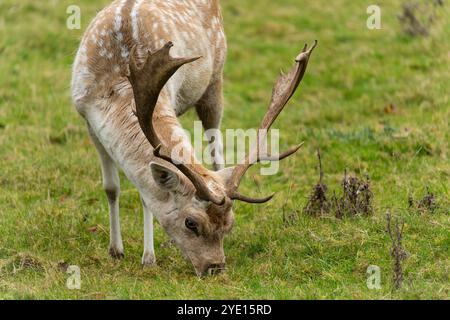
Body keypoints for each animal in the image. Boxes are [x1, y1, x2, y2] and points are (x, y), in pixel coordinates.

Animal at [71, 0, 316, 278]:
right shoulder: (88, 118)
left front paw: (148, 258)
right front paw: (116, 251)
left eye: (230, 224)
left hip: (215, 79)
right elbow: (112, 188)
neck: (118, 82)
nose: (215, 267)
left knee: (216, 151)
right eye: (191, 223)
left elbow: (146, 195)